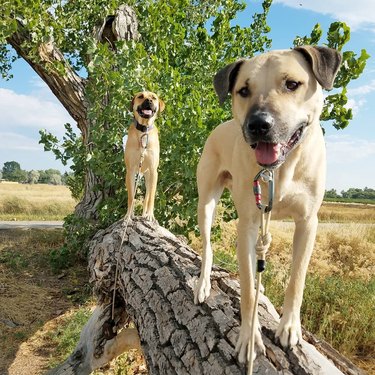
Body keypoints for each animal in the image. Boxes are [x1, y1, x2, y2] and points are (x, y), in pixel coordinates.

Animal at [125, 91, 164, 222]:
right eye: (141, 96)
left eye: (154, 98)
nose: (149, 101)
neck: (143, 130)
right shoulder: (130, 171)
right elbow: (131, 197)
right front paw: (128, 216)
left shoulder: (153, 171)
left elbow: (151, 197)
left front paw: (150, 215)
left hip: (149, 178)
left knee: (147, 197)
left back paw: (145, 214)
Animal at [195, 45, 342, 362]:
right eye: (243, 90)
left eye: (292, 84)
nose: (258, 125)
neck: (280, 170)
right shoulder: (248, 225)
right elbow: (249, 289)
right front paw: (249, 339)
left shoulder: (308, 222)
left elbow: (297, 278)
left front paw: (289, 327)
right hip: (206, 202)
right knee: (208, 246)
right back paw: (202, 284)